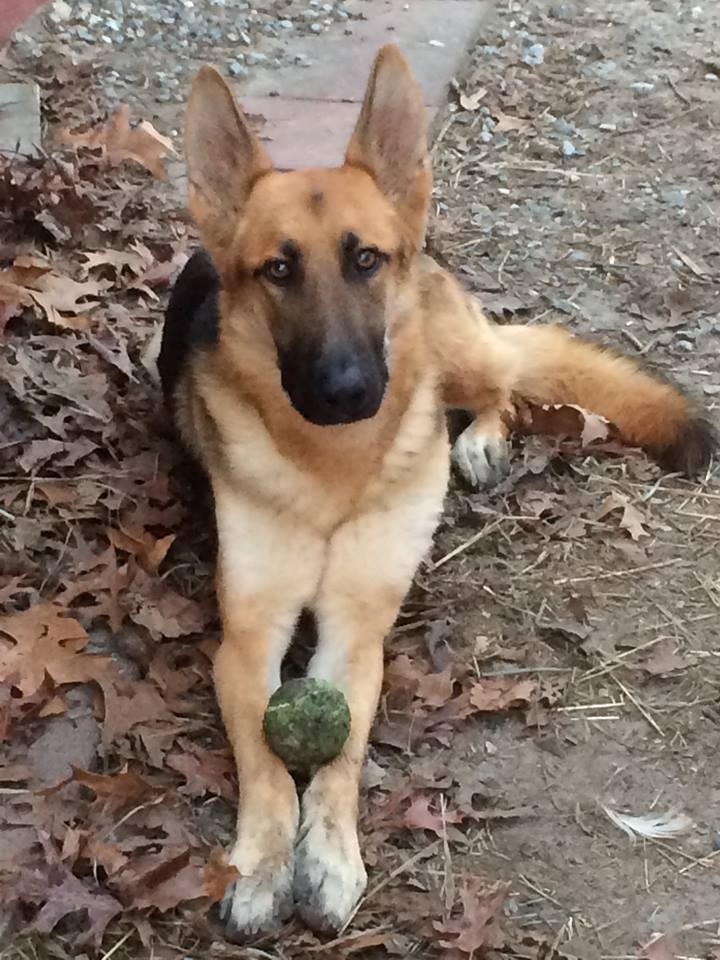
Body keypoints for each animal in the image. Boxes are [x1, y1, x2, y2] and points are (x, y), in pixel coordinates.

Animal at [158, 45, 716, 936]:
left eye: (364, 259)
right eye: (278, 269)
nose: (348, 390)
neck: (337, 468)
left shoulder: (357, 631)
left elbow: (341, 755)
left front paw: (331, 857)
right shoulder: (248, 637)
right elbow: (269, 760)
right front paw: (264, 863)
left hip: (450, 353)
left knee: (507, 384)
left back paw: (481, 440)